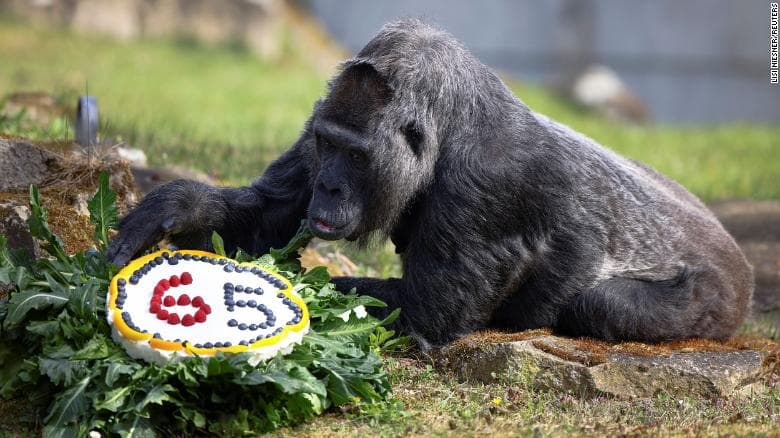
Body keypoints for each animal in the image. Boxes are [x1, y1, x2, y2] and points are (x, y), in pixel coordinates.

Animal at [108, 19, 753, 349]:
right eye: (328, 145)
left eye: (356, 155)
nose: (330, 188)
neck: (452, 123)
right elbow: (269, 217)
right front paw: (177, 205)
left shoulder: (488, 185)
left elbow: (416, 321)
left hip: (721, 301)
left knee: (599, 306)